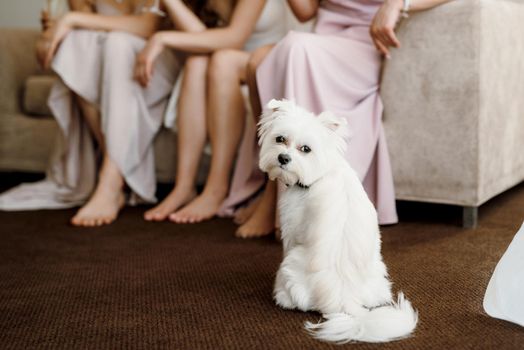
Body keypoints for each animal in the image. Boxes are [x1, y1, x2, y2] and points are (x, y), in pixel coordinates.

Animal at [258, 100, 418, 344]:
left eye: (306, 149)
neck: (321, 173)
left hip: (289, 268)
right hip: (379, 274)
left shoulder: (291, 229)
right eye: (280, 139)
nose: (283, 158)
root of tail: (345, 300)